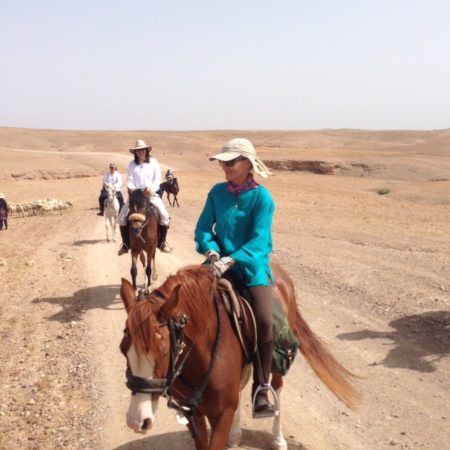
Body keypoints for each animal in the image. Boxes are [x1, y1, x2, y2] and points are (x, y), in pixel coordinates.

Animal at [119, 262, 362, 448]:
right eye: (123, 349)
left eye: (162, 350)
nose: (136, 420)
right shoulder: (193, 415)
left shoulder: (222, 414)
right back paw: (236, 435)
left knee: (277, 388)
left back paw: (278, 439)